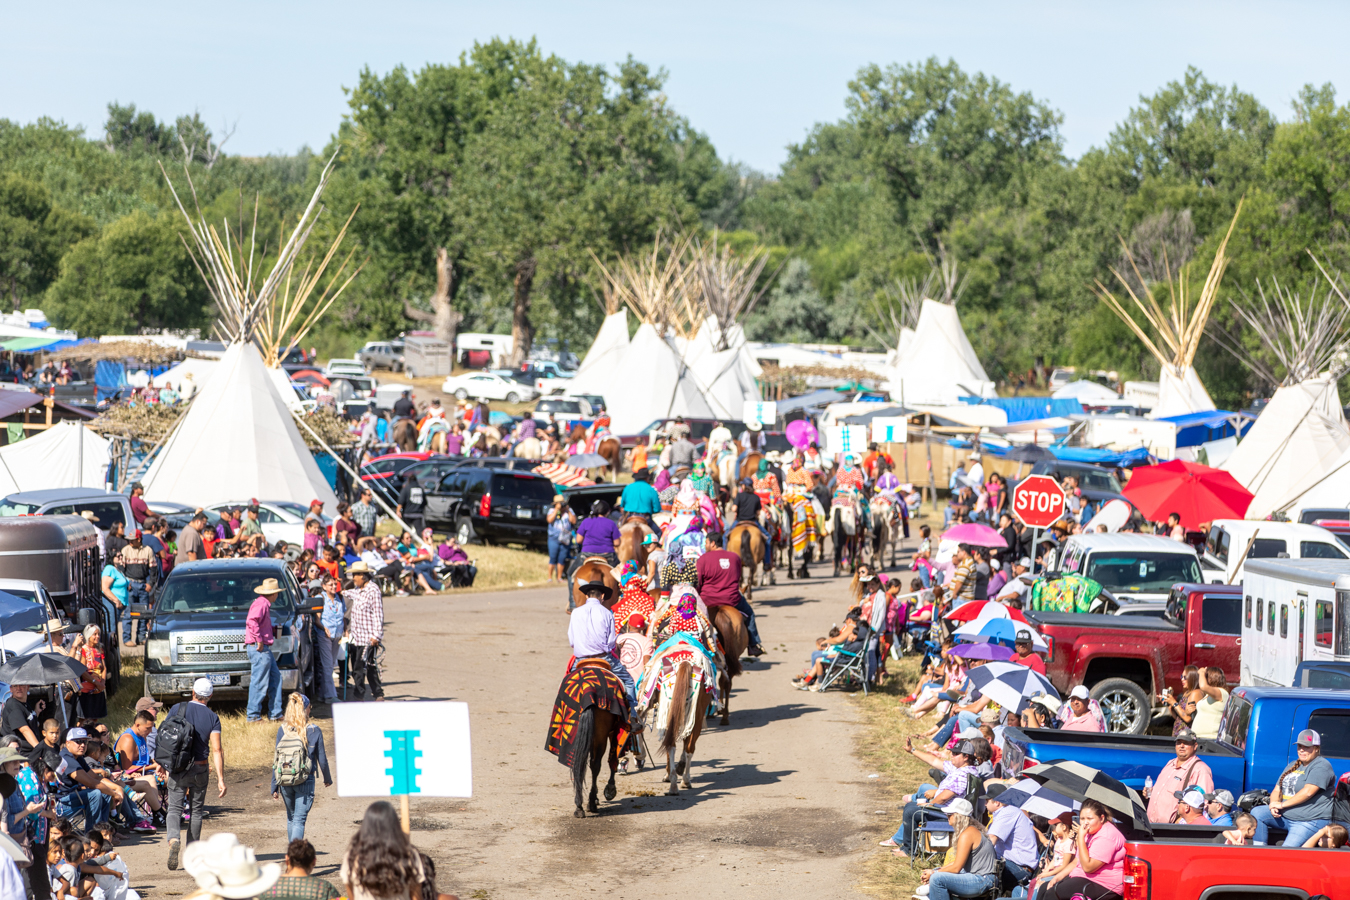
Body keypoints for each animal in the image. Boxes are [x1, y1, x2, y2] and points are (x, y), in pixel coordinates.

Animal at [661, 661, 712, 793]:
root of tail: (685, 663)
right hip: (696, 718)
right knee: (689, 747)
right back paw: (685, 780)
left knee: (670, 744)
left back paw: (673, 784)